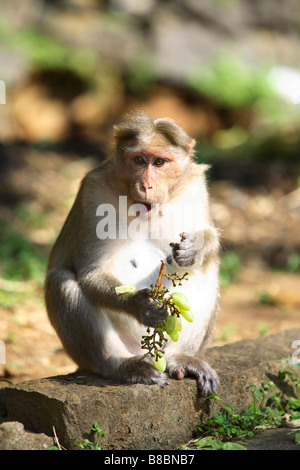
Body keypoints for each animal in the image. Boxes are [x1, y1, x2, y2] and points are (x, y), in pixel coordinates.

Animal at [45, 112, 220, 394]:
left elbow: (208, 236)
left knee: (205, 269)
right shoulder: (92, 193)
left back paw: (179, 357)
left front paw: (195, 246)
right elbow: (91, 273)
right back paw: (122, 366)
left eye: (159, 162)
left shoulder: (195, 187)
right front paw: (139, 305)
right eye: (139, 160)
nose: (147, 185)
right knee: (61, 281)